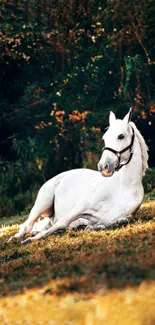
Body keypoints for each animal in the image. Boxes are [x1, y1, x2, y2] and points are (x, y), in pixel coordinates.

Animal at [8, 109, 148, 243]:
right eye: (104, 138)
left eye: (121, 136)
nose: (103, 166)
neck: (123, 186)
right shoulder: (81, 206)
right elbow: (61, 222)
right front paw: (31, 240)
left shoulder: (107, 217)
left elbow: (111, 222)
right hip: (42, 203)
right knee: (27, 225)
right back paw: (16, 238)